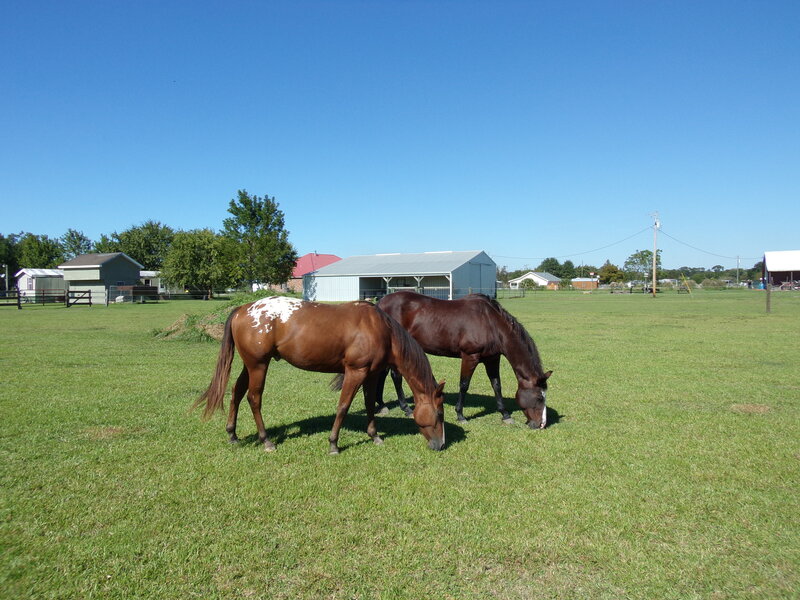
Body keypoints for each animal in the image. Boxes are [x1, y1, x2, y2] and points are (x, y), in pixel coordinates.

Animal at [195, 296, 446, 454]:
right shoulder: (356, 372)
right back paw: (266, 440)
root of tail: (242, 309)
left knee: (236, 392)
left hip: (251, 365)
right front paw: (334, 444)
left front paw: (374, 436)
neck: (380, 329)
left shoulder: (372, 374)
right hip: (258, 365)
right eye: (440, 414)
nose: (441, 444)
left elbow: (369, 404)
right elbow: (343, 406)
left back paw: (232, 434)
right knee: (253, 398)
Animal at [376, 291, 551, 428]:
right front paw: (460, 415)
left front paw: (505, 415)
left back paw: (382, 406)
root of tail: (380, 303)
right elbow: (464, 384)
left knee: (383, 375)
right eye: (539, 397)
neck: (491, 323)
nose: (541, 424)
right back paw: (406, 409)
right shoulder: (470, 357)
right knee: (396, 377)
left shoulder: (492, 359)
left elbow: (496, 385)